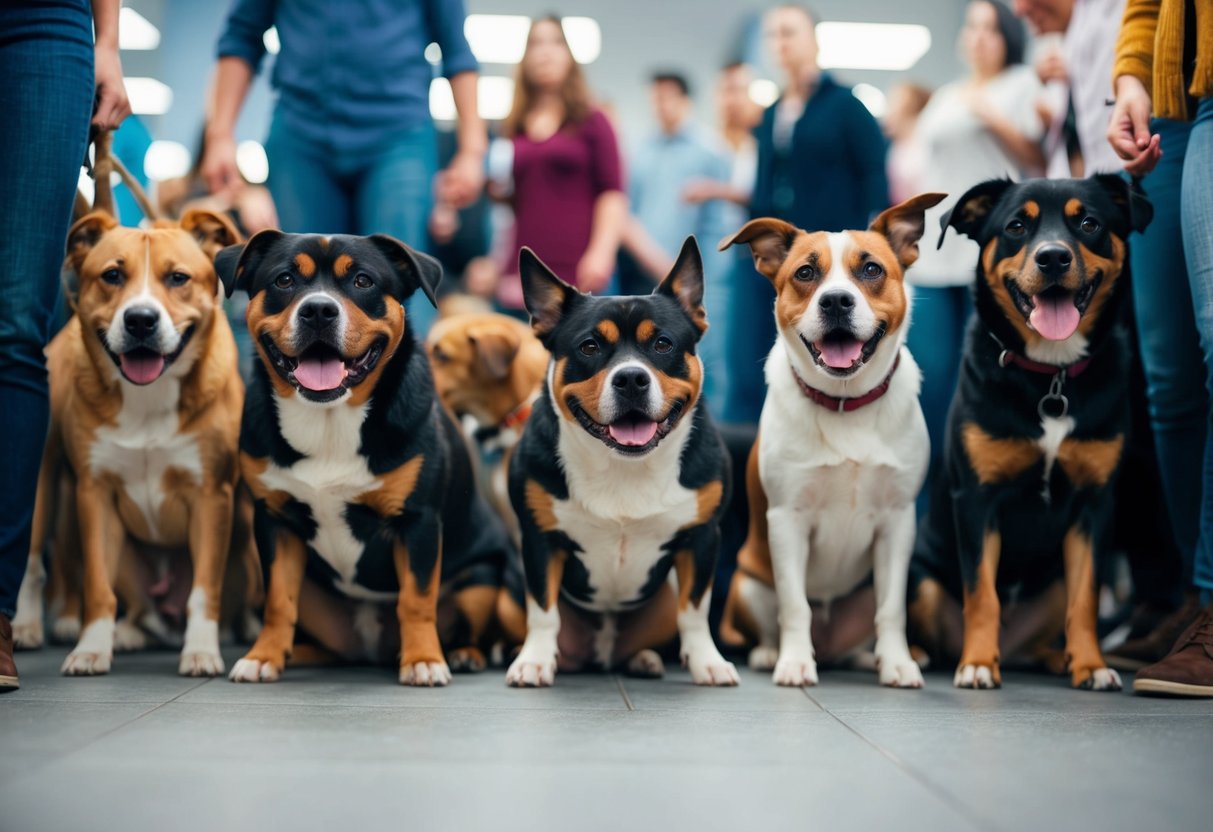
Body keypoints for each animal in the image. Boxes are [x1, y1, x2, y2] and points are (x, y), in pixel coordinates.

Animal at [8, 208, 246, 679]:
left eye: (178, 277)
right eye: (112, 275)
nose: (140, 320)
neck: (148, 398)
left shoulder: (212, 496)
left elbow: (203, 590)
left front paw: (201, 651)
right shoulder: (94, 493)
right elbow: (97, 583)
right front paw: (91, 648)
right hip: (47, 480)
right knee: (37, 561)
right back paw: (40, 626)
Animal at [215, 229, 519, 684]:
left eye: (362, 281)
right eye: (285, 280)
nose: (318, 310)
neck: (329, 419)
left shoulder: (417, 521)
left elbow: (416, 598)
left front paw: (423, 660)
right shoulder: (274, 520)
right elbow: (278, 600)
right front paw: (264, 656)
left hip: (482, 578)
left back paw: (463, 653)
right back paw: (298, 652)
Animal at [504, 237, 737, 688]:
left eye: (662, 344)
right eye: (590, 346)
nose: (631, 378)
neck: (623, 464)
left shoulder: (702, 539)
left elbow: (694, 611)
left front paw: (708, 662)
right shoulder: (540, 540)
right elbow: (543, 611)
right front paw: (534, 662)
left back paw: (644, 660)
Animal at [718, 192, 946, 688]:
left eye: (872, 269)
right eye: (805, 273)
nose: (837, 301)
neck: (846, 403)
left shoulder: (898, 524)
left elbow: (891, 610)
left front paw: (897, 663)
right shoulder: (787, 521)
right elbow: (794, 606)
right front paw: (793, 663)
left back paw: (865, 657)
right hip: (748, 583)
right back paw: (773, 652)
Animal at [912, 174, 1154, 688]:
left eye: (1089, 223)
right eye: (1017, 226)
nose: (1053, 257)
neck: (1051, 375)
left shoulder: (1095, 504)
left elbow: (1086, 599)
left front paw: (1091, 665)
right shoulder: (977, 499)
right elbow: (982, 593)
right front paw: (977, 664)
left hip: (1054, 582)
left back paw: (1053, 657)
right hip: (921, 579)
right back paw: (927, 654)